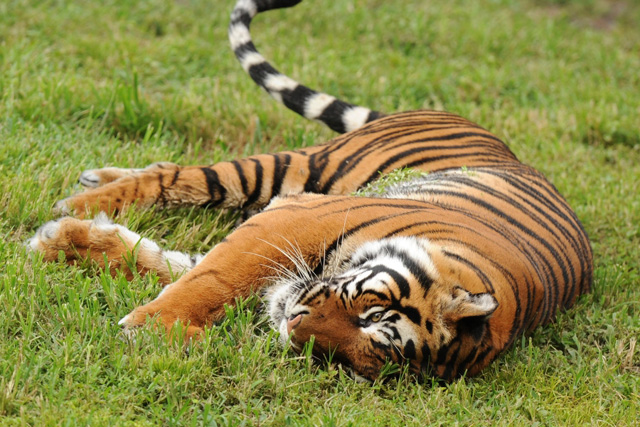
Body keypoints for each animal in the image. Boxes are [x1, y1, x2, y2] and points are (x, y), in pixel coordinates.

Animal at [27, 0, 593, 382]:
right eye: (372, 314)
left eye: (342, 357)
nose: (294, 324)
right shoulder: (295, 215)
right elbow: (211, 277)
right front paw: (153, 327)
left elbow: (183, 265)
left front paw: (68, 241)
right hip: (294, 167)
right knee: (183, 175)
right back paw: (83, 197)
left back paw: (91, 187)